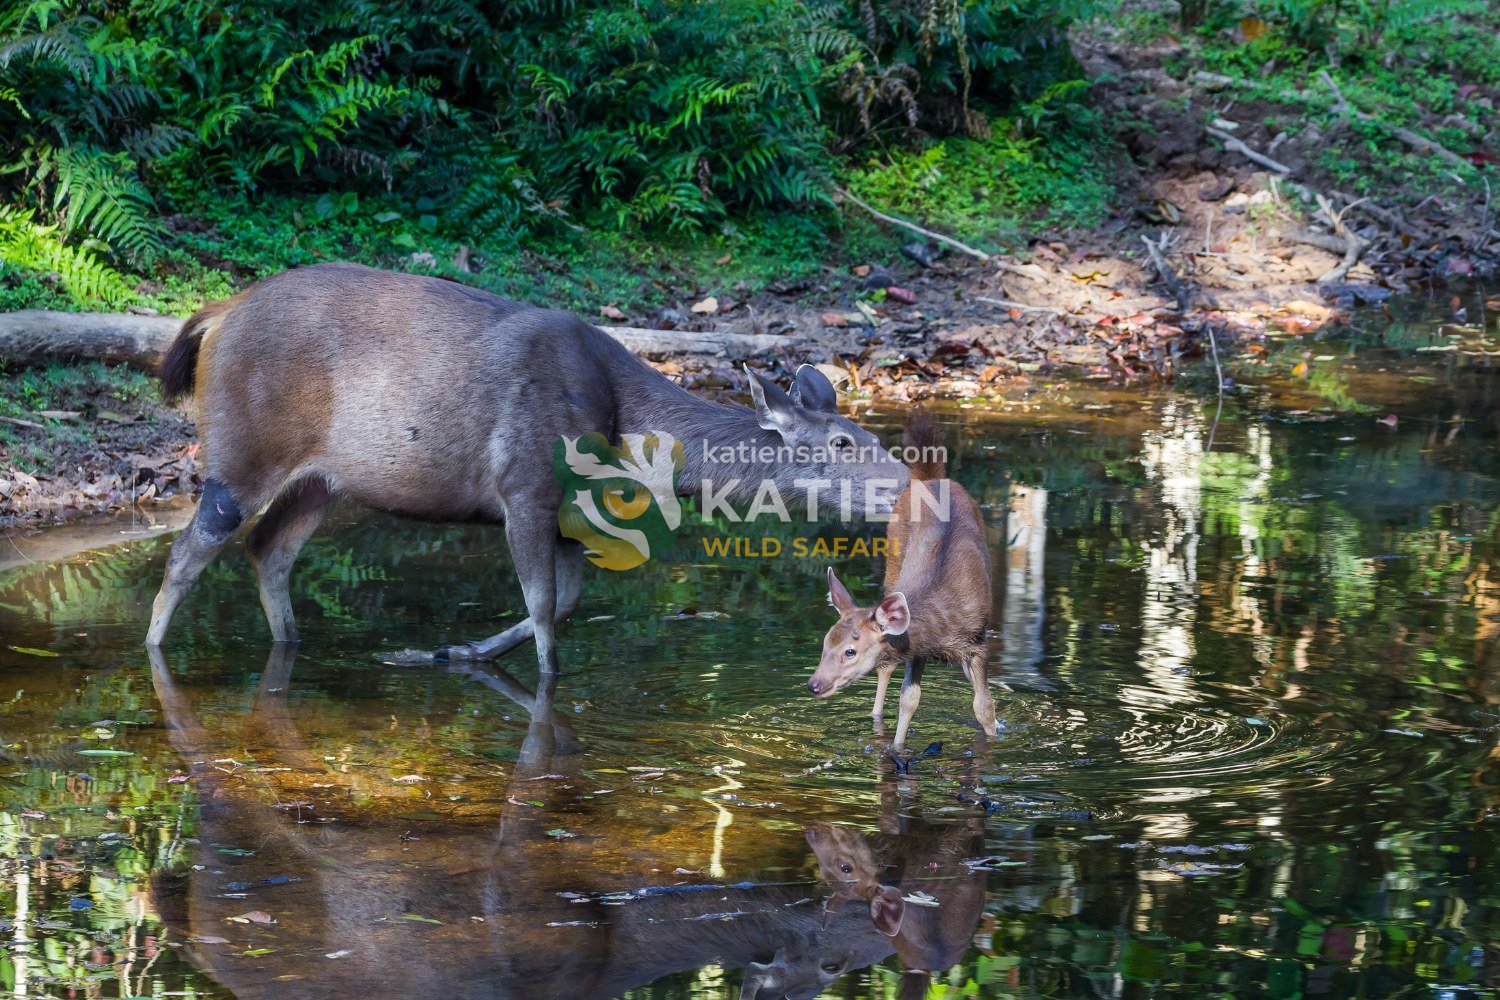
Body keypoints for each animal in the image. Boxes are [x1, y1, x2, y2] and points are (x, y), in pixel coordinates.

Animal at [145, 262, 907, 675]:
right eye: (843, 444)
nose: (906, 485)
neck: (623, 436)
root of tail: (214, 316)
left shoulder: (572, 517)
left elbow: (563, 604)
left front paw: (457, 653)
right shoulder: (524, 488)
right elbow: (544, 608)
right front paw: (540, 680)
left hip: (322, 481)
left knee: (268, 548)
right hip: (242, 449)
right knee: (190, 552)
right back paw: (155, 652)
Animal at [808, 412, 997, 748]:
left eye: (850, 651)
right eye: (825, 642)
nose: (814, 684)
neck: (942, 631)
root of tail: (929, 478)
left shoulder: (979, 641)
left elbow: (983, 706)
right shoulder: (916, 651)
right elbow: (909, 699)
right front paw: (896, 747)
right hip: (892, 564)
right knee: (885, 669)